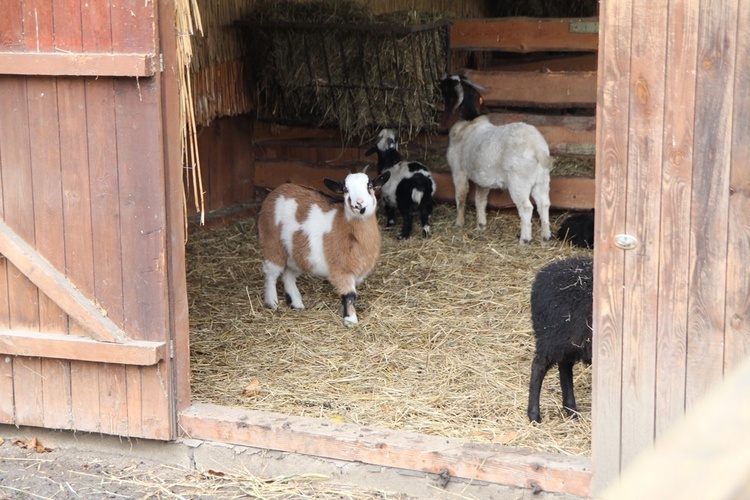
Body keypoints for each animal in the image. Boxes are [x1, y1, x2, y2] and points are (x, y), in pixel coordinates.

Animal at [258, 172, 390, 328]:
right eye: (345, 189)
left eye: (369, 186)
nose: (359, 203)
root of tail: (277, 191)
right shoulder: (340, 270)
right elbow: (350, 295)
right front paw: (350, 321)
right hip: (272, 242)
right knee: (271, 273)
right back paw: (272, 302)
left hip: (296, 253)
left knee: (288, 275)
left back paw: (297, 304)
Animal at [438, 74, 556, 244]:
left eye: (449, 85)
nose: (440, 80)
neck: (469, 122)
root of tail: (536, 147)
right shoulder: (482, 180)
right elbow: (480, 200)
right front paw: (481, 225)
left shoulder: (458, 171)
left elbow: (460, 197)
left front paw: (459, 223)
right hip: (542, 180)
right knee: (544, 204)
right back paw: (545, 236)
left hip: (518, 182)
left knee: (526, 208)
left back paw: (524, 240)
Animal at [528, 256, 592, 424]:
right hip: (553, 337)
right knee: (539, 366)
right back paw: (534, 415)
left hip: (570, 340)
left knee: (564, 366)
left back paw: (570, 409)